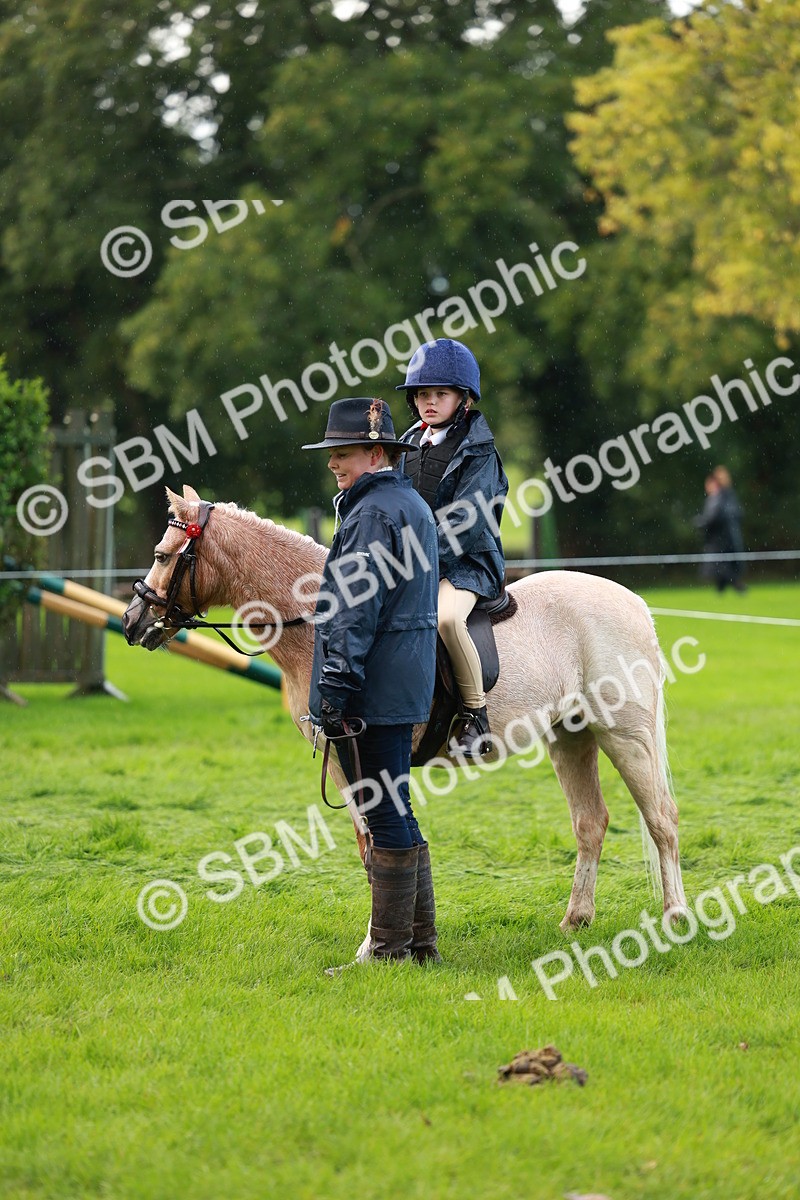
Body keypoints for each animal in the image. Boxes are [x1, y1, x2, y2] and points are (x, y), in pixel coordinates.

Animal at [122, 484, 688, 931]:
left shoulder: (366, 758)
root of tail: (634, 603)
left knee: (661, 818)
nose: (132, 621)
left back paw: (675, 918)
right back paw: (576, 919)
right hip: (571, 737)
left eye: (163, 555)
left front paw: (379, 944)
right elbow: (370, 849)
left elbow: (381, 847)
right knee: (591, 822)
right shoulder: (345, 762)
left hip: (623, 735)